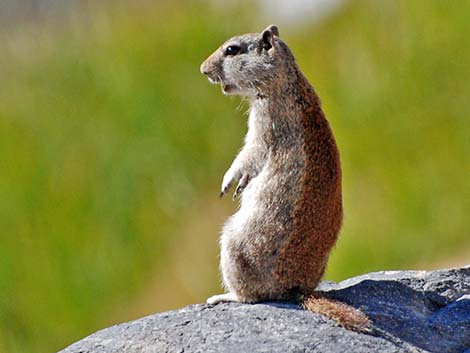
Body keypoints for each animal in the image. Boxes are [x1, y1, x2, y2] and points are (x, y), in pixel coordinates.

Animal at [200, 26, 370, 332]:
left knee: (251, 297)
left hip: (234, 243)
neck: (286, 81)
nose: (203, 69)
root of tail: (298, 290)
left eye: (231, 50)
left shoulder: (265, 123)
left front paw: (229, 183)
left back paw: (223, 296)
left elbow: (248, 155)